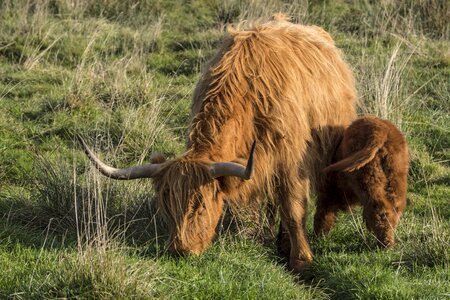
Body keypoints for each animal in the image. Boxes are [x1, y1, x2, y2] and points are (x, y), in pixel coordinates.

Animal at [79, 15, 356, 274]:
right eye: (166, 206)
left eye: (201, 205)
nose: (181, 251)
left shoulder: (291, 161)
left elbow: (293, 209)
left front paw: (301, 260)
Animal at [312, 116, 408, 247]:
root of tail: (381, 129)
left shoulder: (328, 192)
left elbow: (323, 213)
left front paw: (319, 236)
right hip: (396, 177)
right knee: (395, 208)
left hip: (367, 179)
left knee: (380, 209)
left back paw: (384, 244)